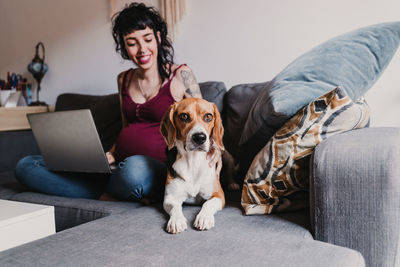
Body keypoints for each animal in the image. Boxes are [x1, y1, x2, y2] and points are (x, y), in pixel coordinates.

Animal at [161, 98, 227, 234]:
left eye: (208, 116)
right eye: (184, 116)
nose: (200, 137)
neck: (193, 161)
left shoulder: (219, 195)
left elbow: (208, 204)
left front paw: (204, 217)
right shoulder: (170, 197)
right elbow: (175, 207)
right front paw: (176, 220)